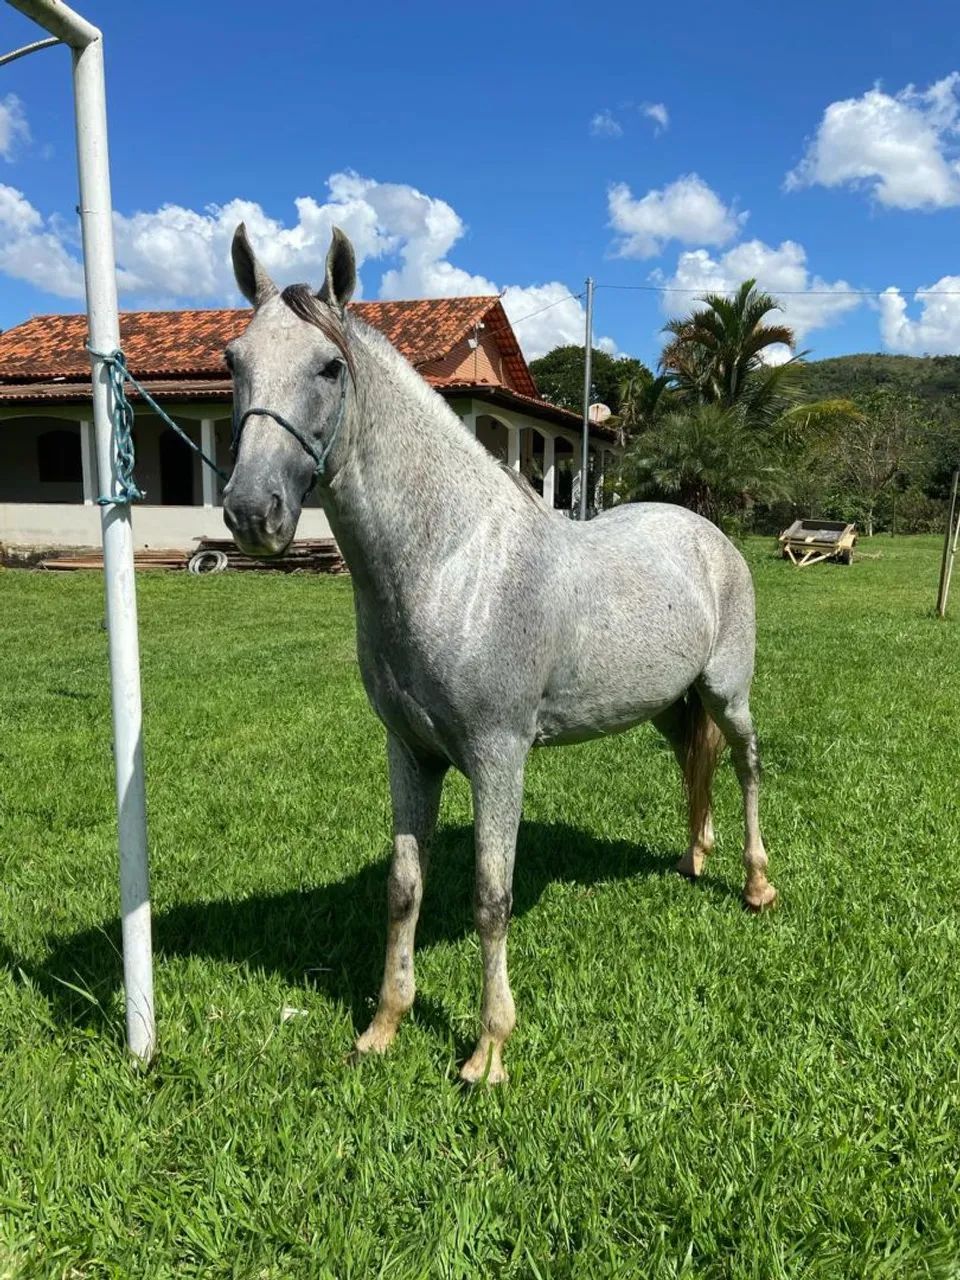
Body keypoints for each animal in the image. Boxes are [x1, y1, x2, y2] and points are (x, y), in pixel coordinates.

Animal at [222, 224, 777, 1085]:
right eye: (232, 361)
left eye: (328, 367)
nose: (253, 512)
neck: (453, 563)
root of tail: (707, 532)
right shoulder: (410, 753)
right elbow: (405, 887)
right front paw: (383, 1026)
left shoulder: (496, 755)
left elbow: (491, 897)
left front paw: (488, 1051)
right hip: (663, 704)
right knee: (696, 763)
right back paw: (694, 857)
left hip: (728, 692)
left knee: (746, 762)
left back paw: (754, 885)